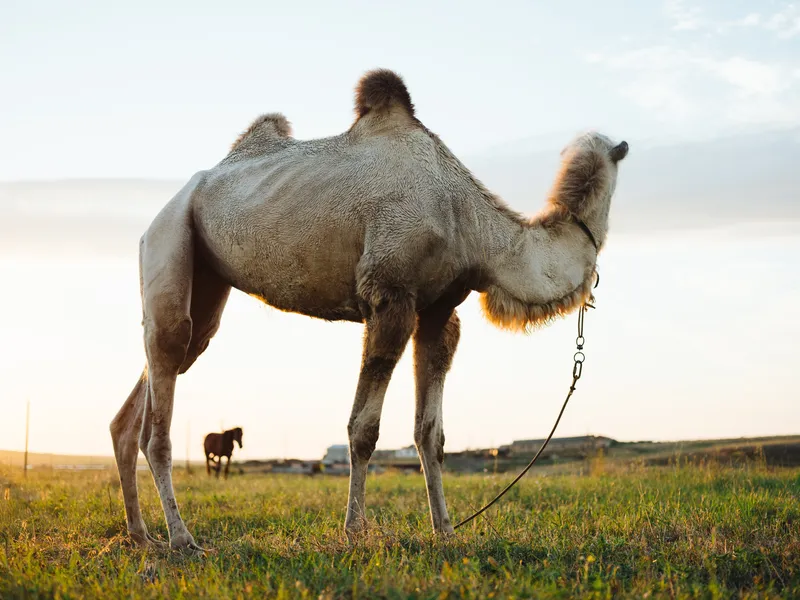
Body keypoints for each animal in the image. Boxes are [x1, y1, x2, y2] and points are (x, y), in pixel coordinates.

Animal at [109, 68, 628, 551]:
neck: (469, 223)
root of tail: (167, 207)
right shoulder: (389, 295)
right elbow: (363, 429)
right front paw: (355, 530)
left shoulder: (438, 313)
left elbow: (431, 433)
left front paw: (445, 530)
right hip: (171, 234)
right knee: (163, 384)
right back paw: (182, 539)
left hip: (205, 279)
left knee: (150, 388)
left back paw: (141, 535)